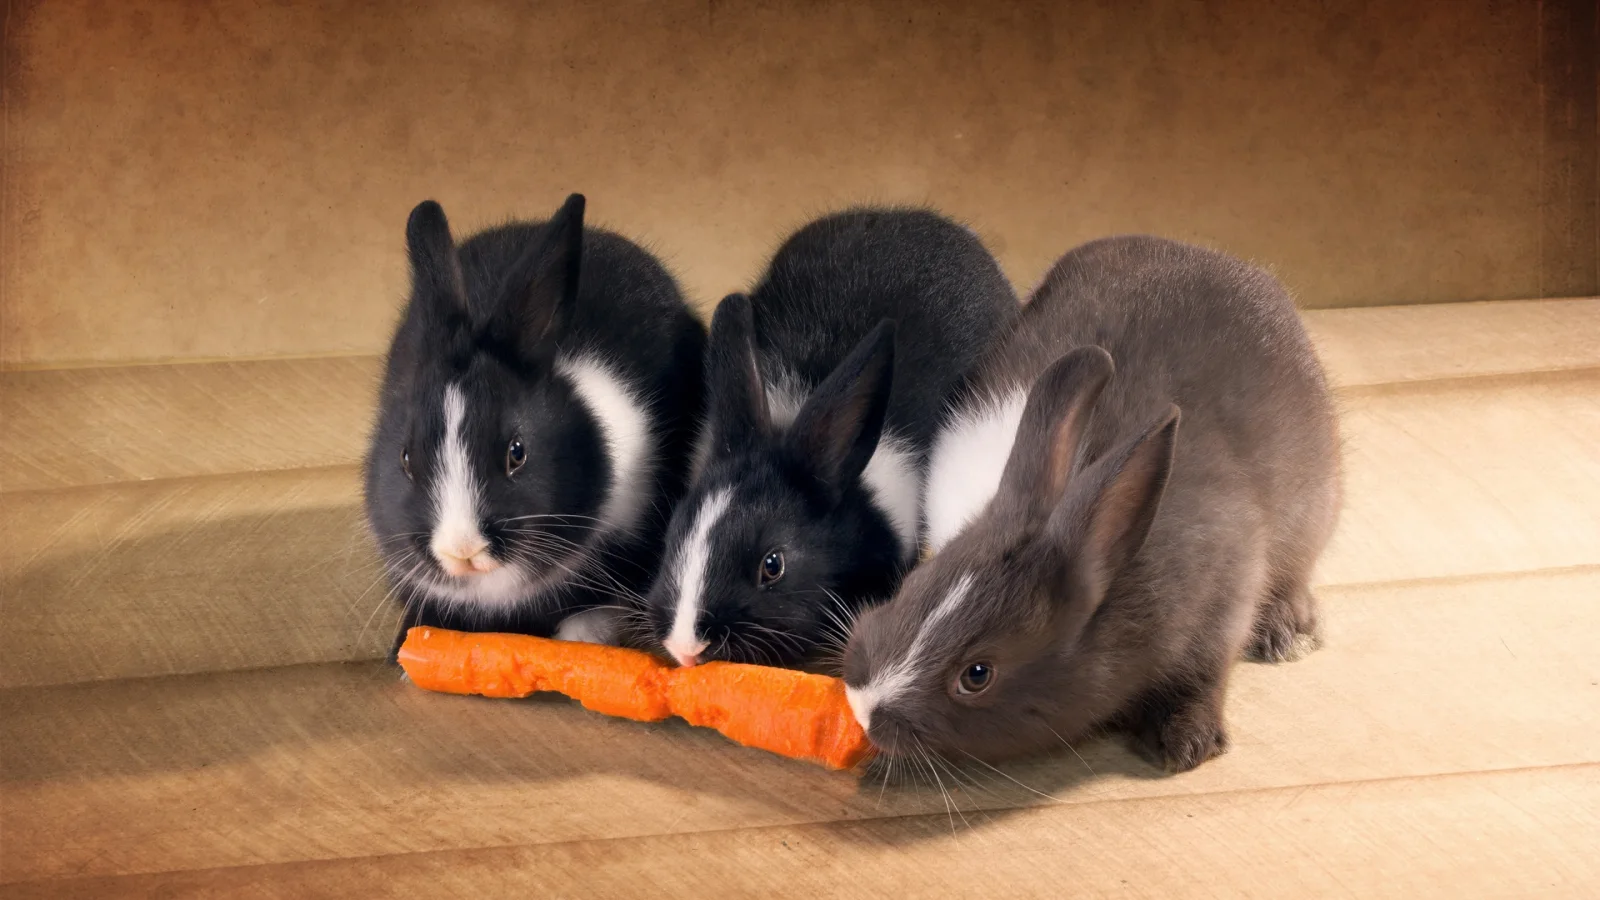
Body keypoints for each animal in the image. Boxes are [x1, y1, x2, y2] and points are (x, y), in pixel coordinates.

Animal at [842, 235, 1341, 773]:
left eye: (977, 674)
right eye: (911, 587)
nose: (863, 706)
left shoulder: (1224, 604)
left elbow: (1202, 675)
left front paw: (1183, 745)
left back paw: (1289, 634)